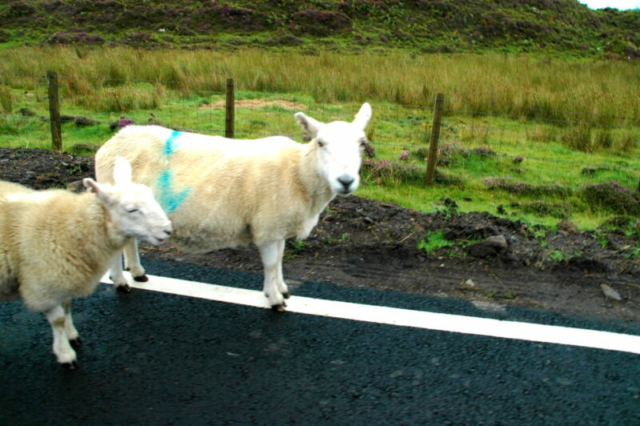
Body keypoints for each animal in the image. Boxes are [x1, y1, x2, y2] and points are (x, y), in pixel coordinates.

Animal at [0, 157, 172, 369]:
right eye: (131, 209)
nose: (167, 230)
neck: (70, 227)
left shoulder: (64, 277)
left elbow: (67, 307)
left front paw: (72, 336)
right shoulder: (42, 285)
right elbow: (58, 319)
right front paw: (65, 354)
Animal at [95, 103, 372, 311]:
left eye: (362, 143)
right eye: (320, 143)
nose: (346, 181)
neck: (299, 172)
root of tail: (115, 138)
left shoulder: (278, 225)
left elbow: (280, 261)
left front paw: (282, 288)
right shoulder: (268, 225)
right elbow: (271, 263)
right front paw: (275, 299)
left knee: (130, 241)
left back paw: (137, 272)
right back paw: (120, 281)